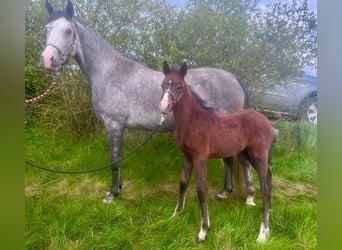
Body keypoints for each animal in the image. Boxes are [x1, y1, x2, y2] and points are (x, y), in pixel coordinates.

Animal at [40, 0, 254, 204]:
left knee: (240, 161)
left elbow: (114, 160)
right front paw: (118, 189)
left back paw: (248, 197)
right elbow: (118, 158)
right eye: (47, 28)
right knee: (228, 159)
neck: (111, 72)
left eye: (68, 30)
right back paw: (225, 192)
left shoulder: (113, 124)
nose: (48, 59)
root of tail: (233, 78)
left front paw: (111, 194)